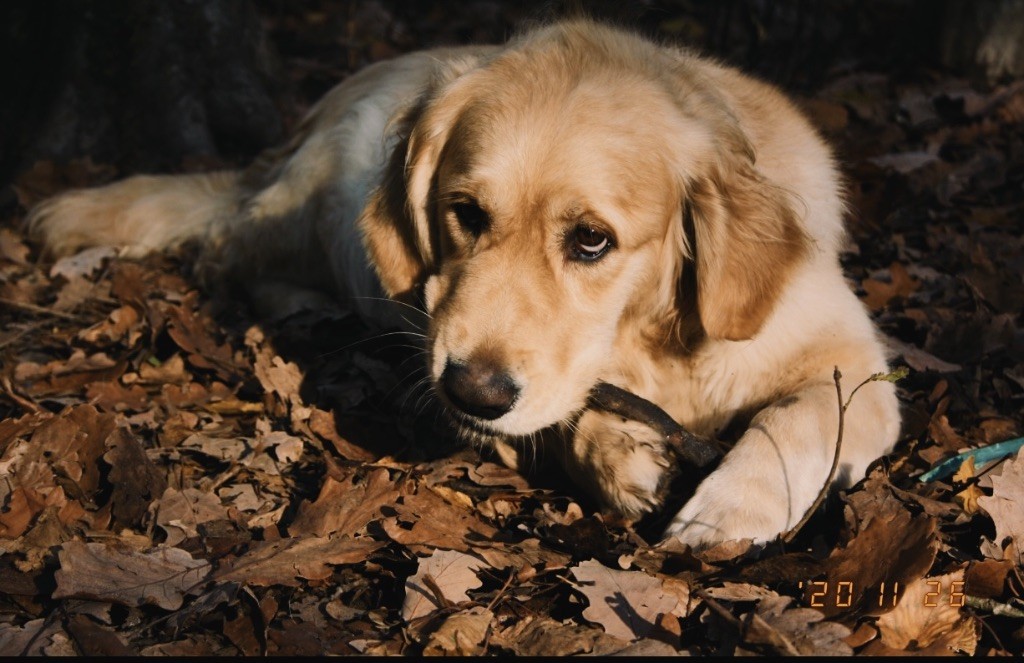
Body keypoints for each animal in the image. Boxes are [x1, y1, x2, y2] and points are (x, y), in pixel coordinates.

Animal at [28, 22, 901, 549]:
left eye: (592, 239)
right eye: (466, 212)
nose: (471, 391)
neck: (653, 345)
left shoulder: (855, 363)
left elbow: (798, 419)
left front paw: (732, 506)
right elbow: (560, 412)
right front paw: (615, 450)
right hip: (325, 211)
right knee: (225, 251)